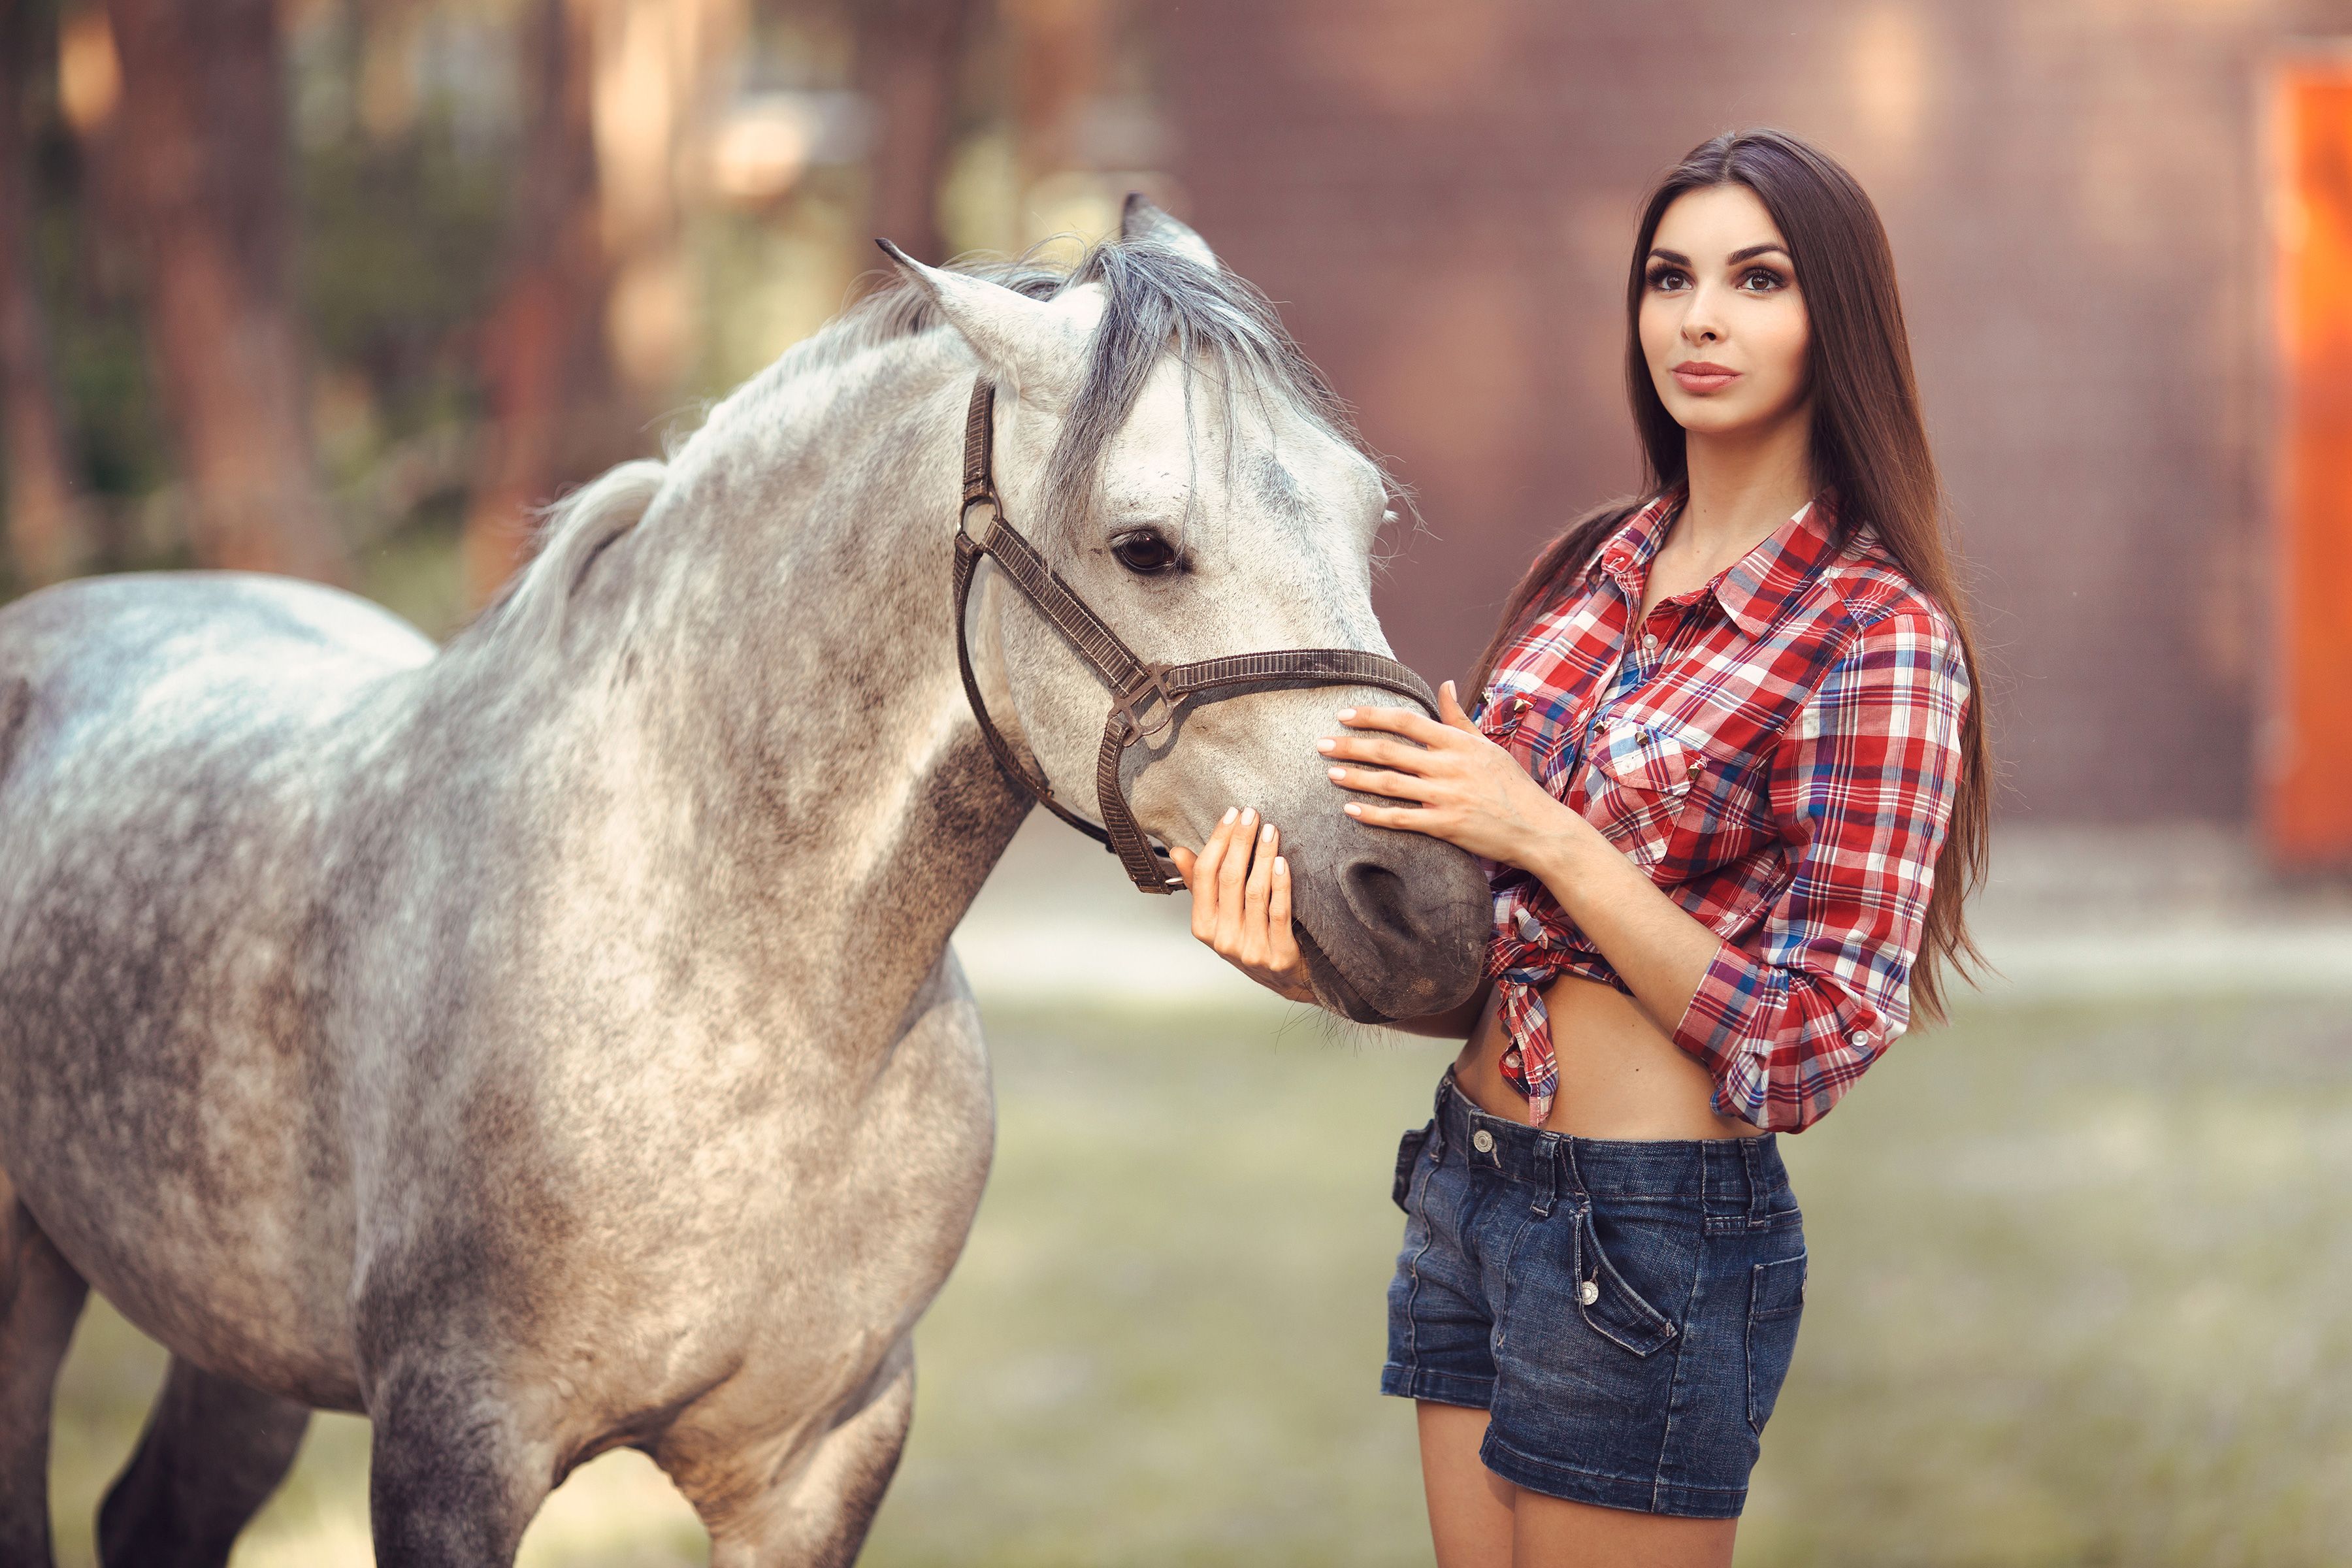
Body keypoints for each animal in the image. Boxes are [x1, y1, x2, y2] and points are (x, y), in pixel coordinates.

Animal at [0, 198, 1488, 1566]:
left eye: (1367, 517)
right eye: (1144, 546)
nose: (1435, 904)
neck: (728, 986)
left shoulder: (821, 1459)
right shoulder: (450, 1451)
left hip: (234, 1333)